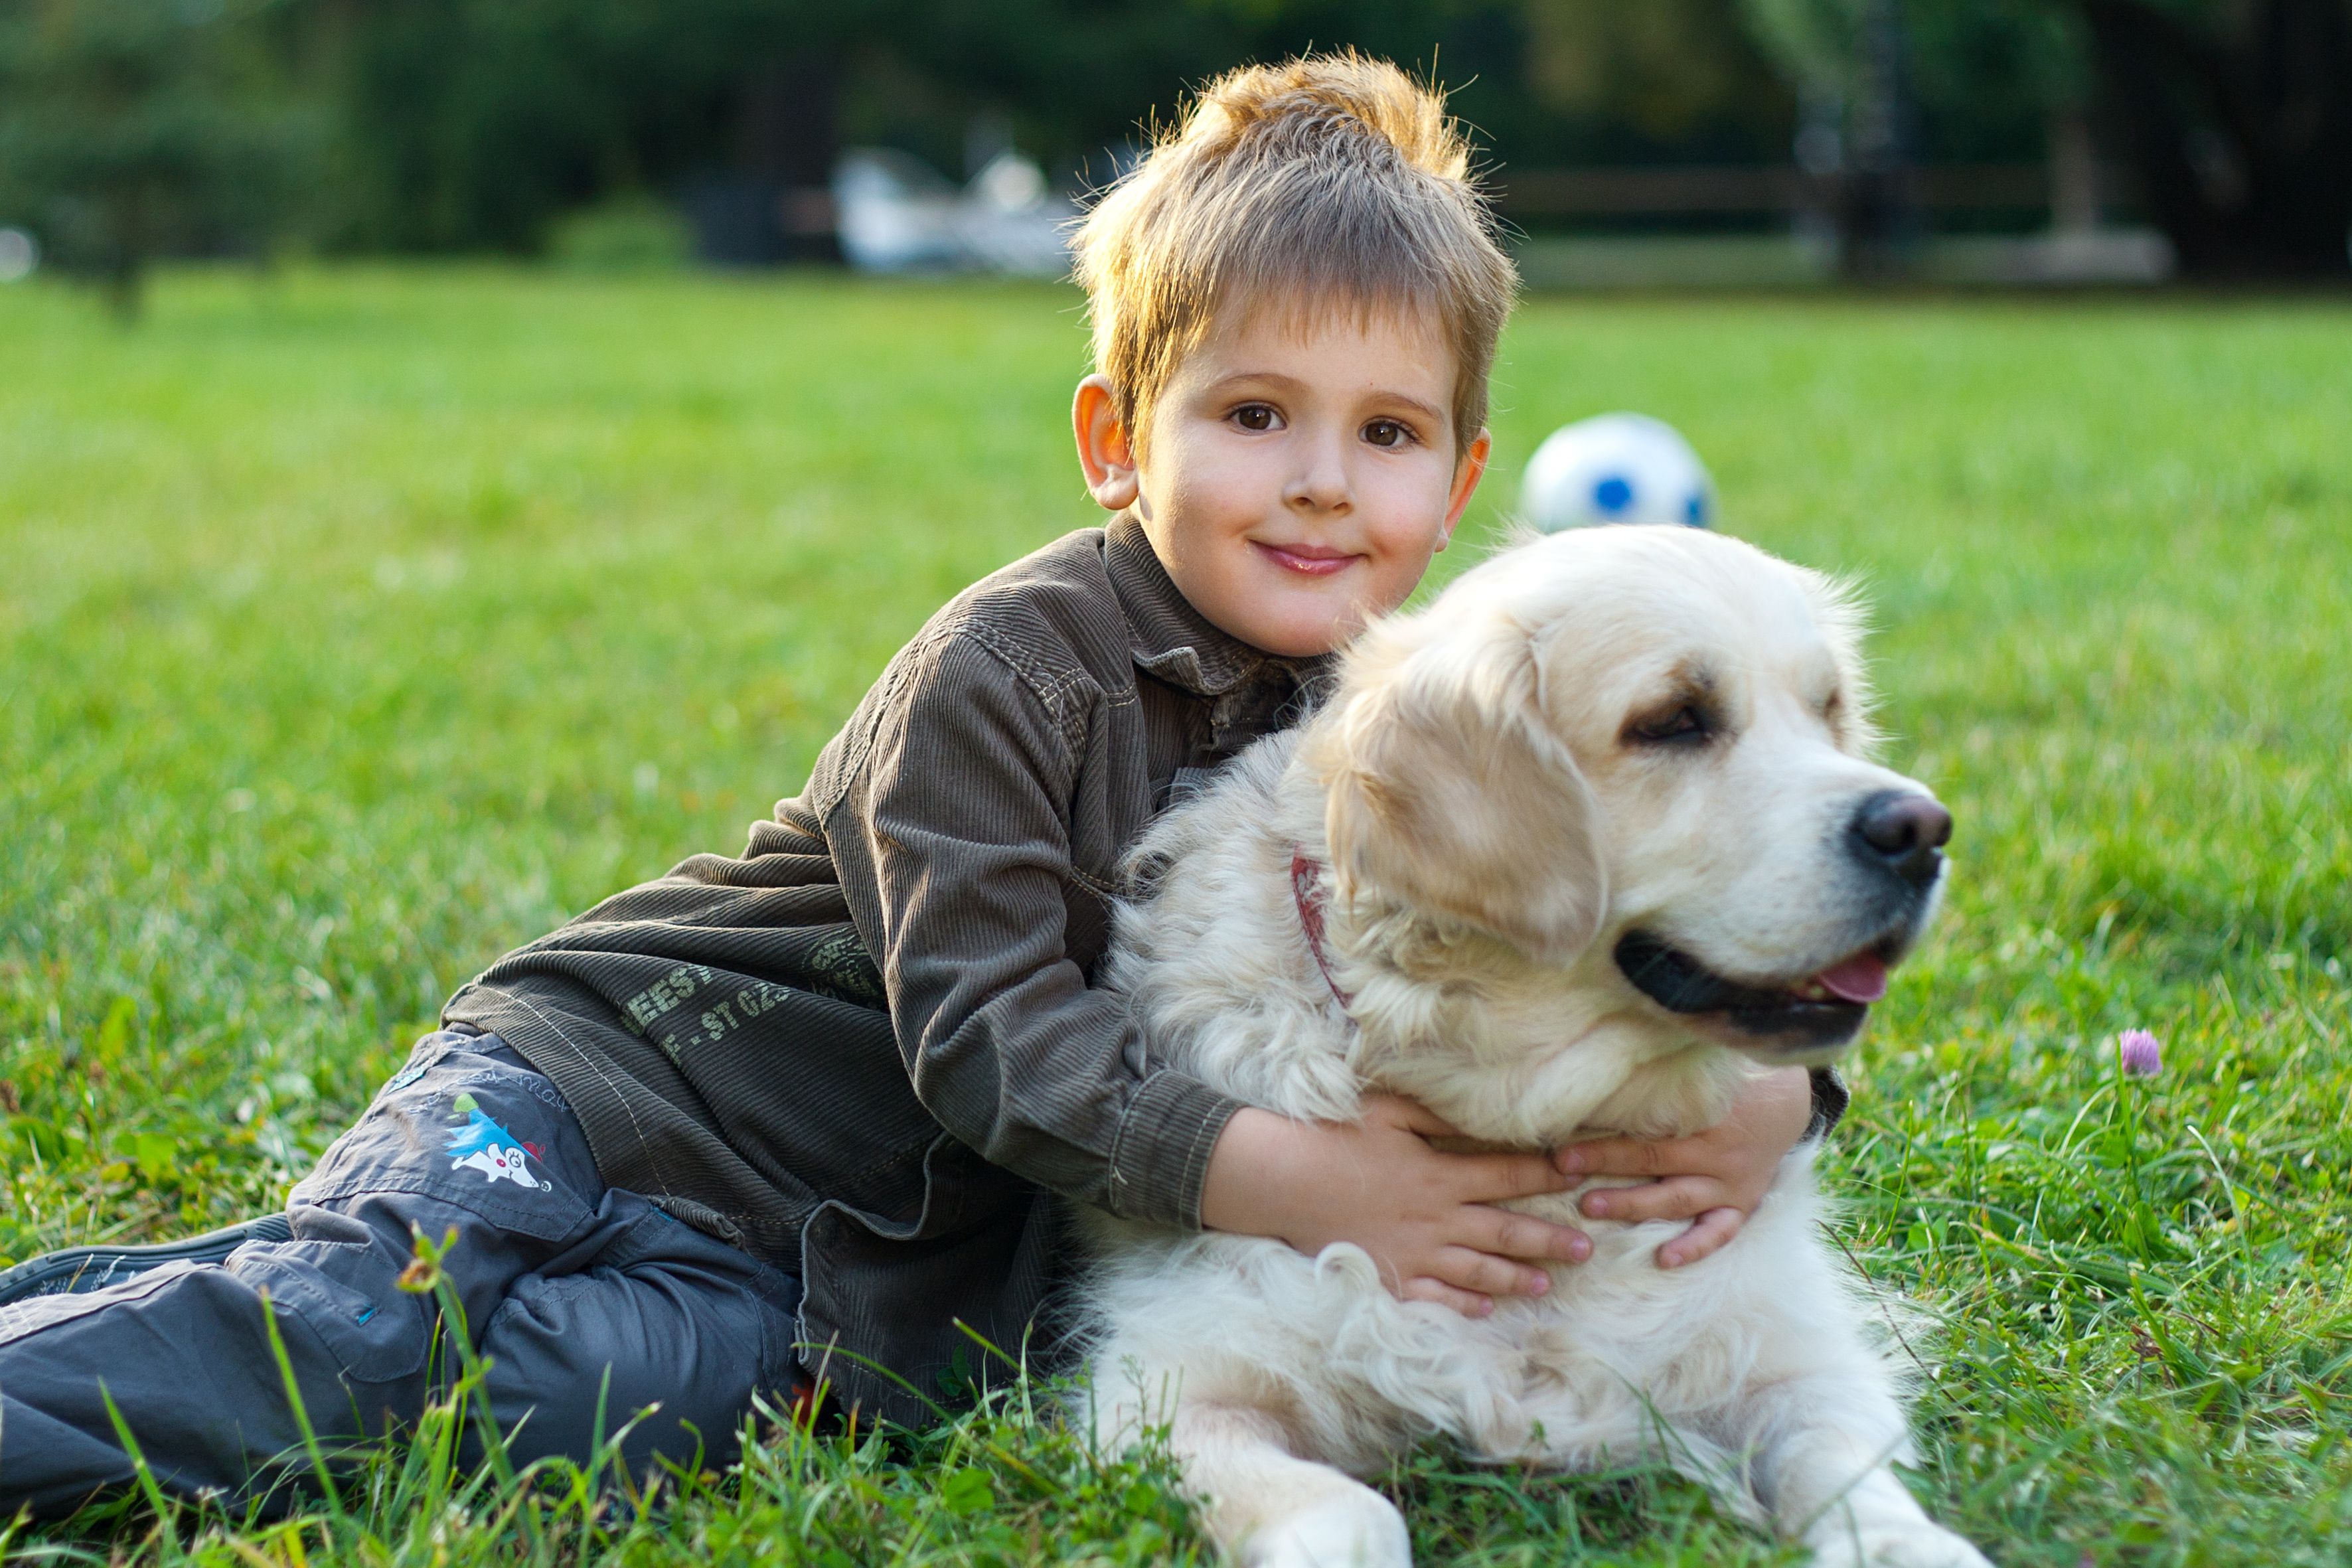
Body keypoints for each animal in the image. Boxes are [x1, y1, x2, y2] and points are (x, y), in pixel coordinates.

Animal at [1077, 522, 1985, 1561]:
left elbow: (1856, 1481)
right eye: (1673, 720)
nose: (1921, 830)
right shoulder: (1174, 1385)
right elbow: (1345, 1508)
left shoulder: (1794, 1354)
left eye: (1826, 710)